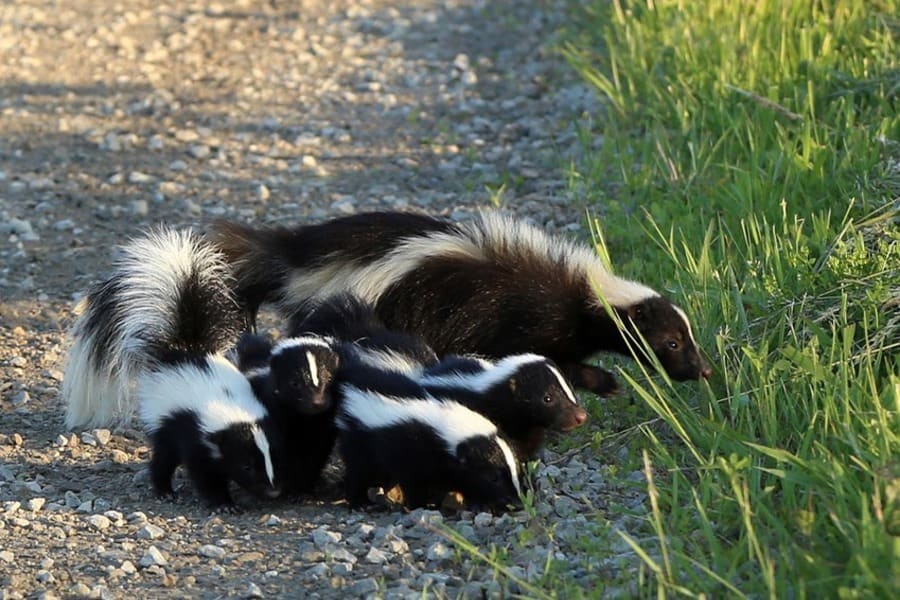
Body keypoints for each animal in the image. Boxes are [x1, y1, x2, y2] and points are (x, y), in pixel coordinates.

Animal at [62, 227, 282, 508]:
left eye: (273, 458)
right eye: (245, 465)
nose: (273, 490)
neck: (230, 408)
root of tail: (183, 350)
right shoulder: (192, 432)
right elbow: (203, 472)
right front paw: (222, 502)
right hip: (161, 420)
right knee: (162, 458)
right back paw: (164, 489)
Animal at [214, 210, 712, 394]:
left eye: (687, 338)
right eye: (671, 343)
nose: (704, 369)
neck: (587, 295)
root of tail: (296, 259)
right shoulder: (530, 319)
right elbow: (555, 360)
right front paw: (602, 380)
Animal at [336, 372, 520, 508]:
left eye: (516, 470)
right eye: (493, 477)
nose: (516, 500)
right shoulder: (411, 451)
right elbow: (413, 483)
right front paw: (421, 505)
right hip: (358, 440)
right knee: (357, 472)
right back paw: (360, 502)